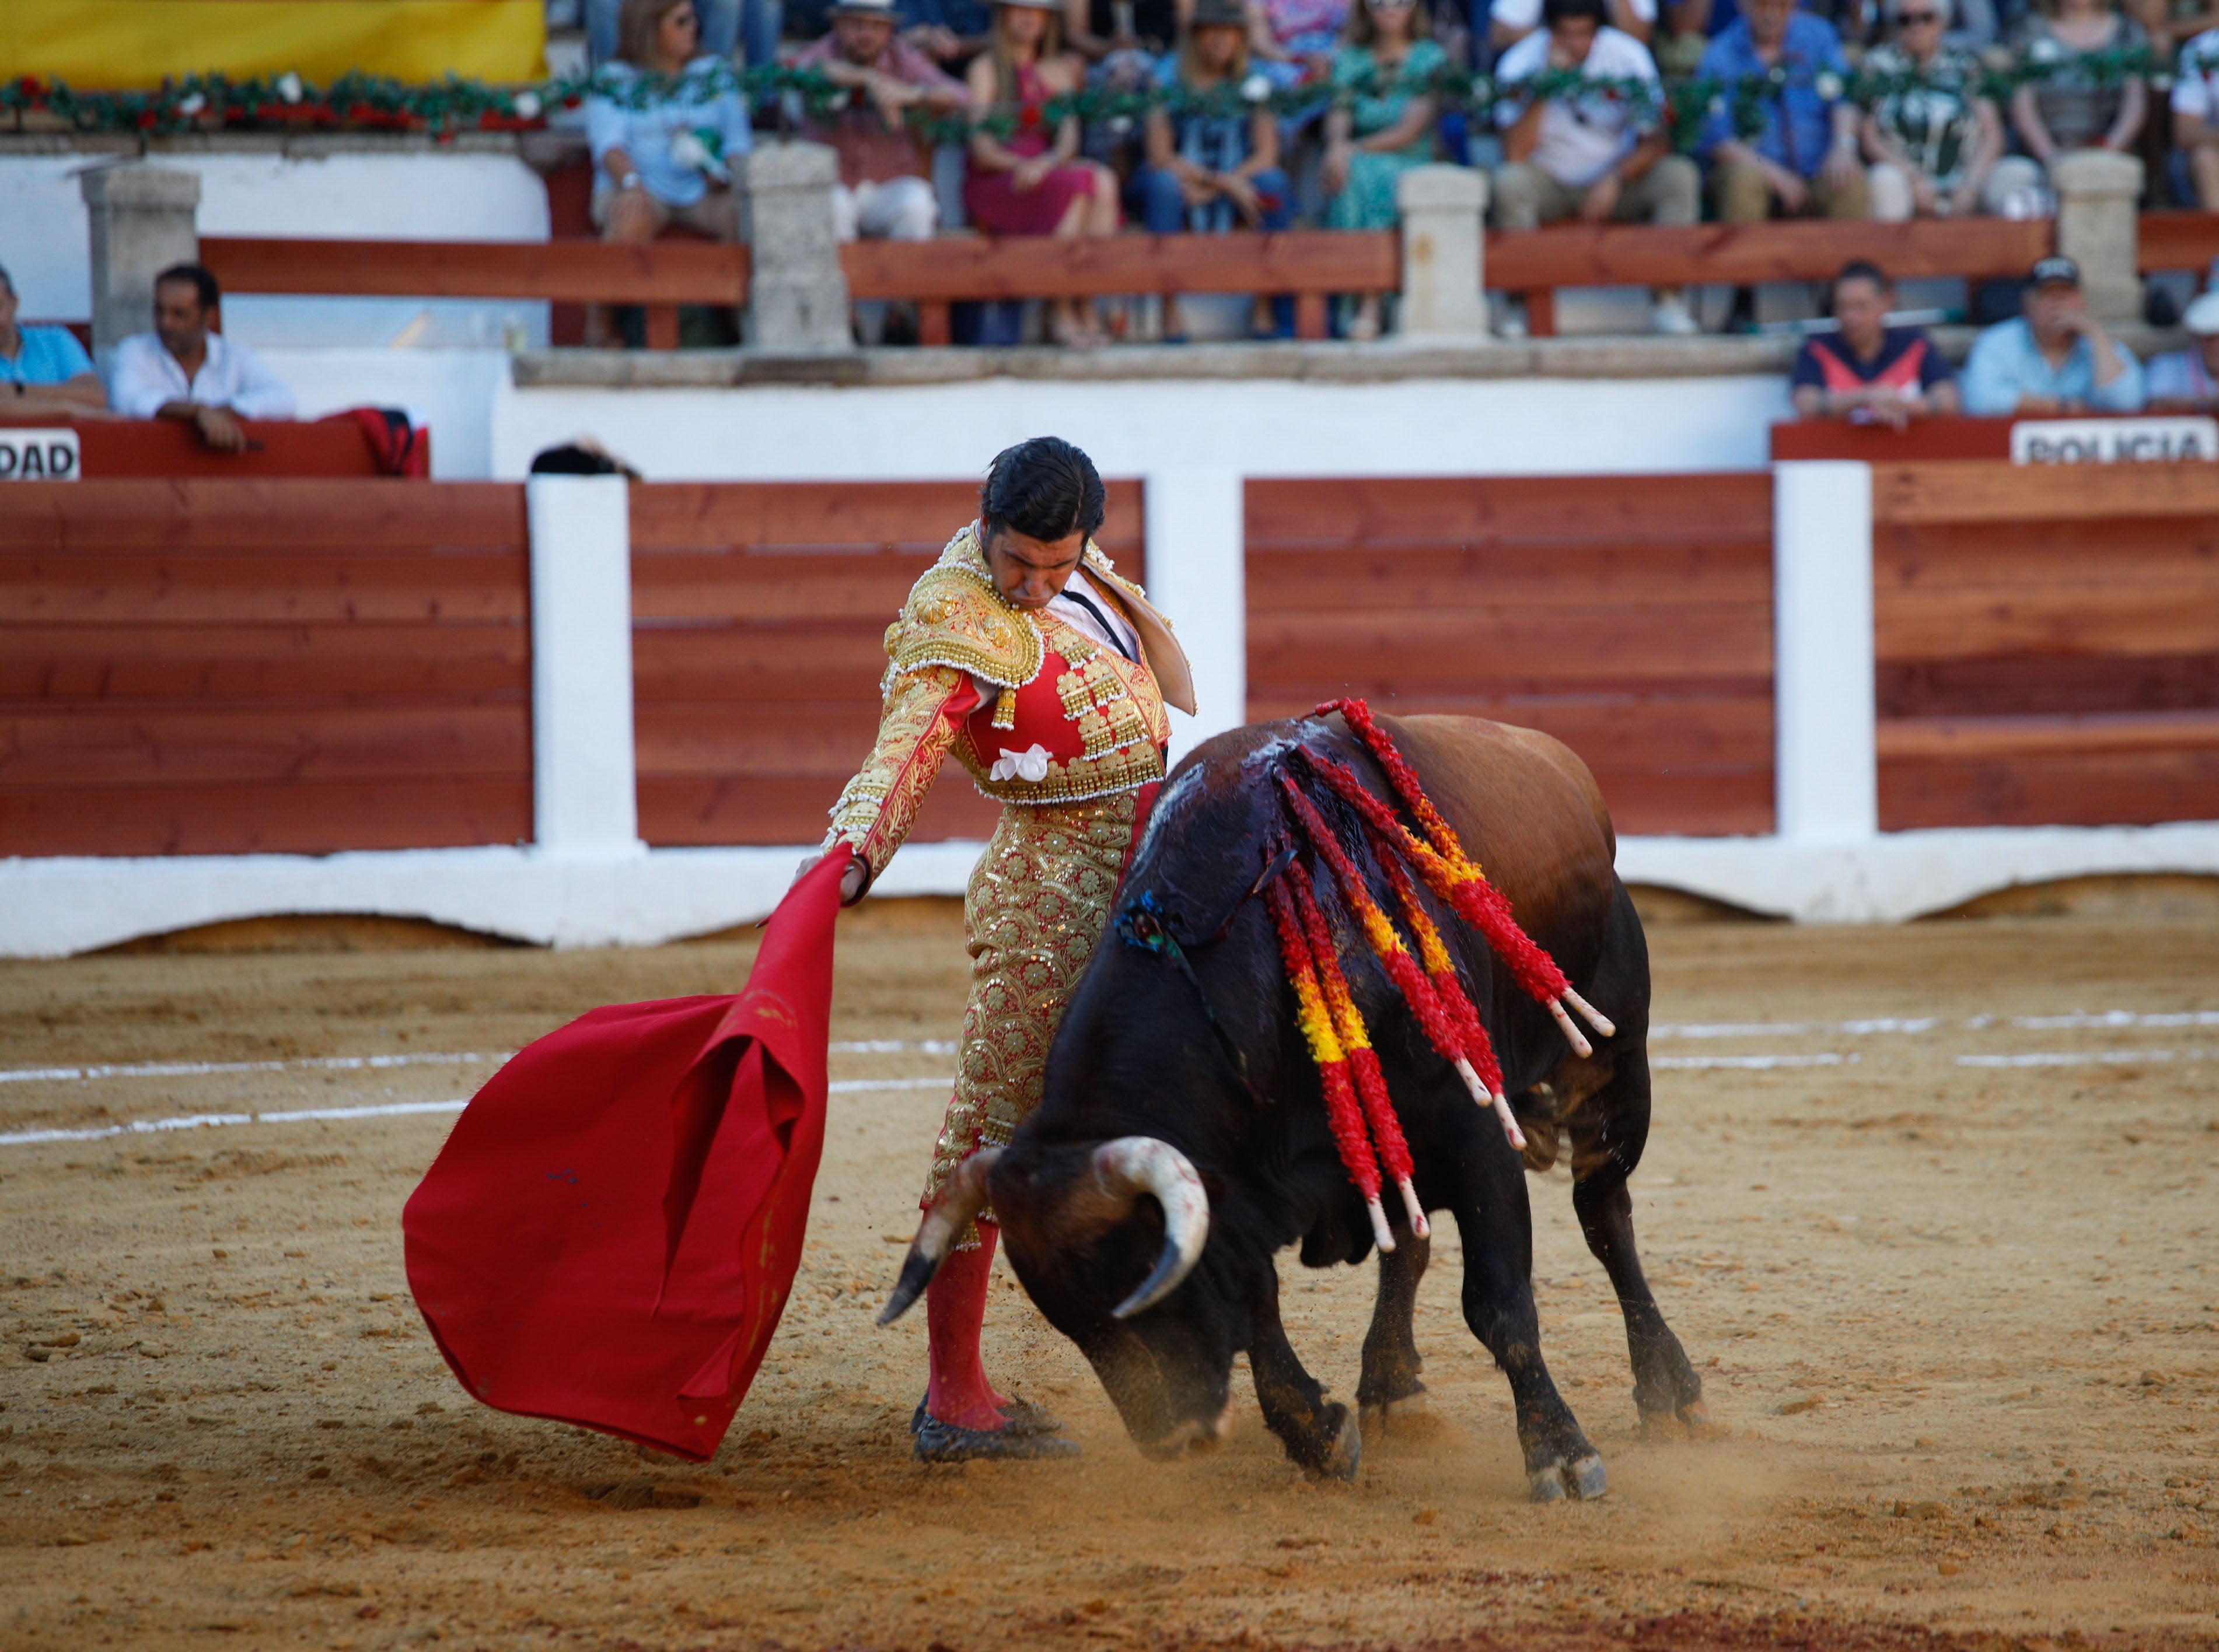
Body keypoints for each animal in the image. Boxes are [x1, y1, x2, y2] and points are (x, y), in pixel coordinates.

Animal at [878, 709, 1695, 1499]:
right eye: (1066, 1317)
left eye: (1137, 1272)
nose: (1172, 1439)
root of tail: (1567, 772)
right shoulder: (1243, 1191)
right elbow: (1254, 1301)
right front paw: (1317, 1432)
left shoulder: (1473, 1131)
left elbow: (1497, 1301)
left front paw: (1560, 1454)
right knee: (1413, 1246)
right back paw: (1392, 1386)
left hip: (1616, 1067)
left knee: (1604, 1217)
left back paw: (1670, 1391)